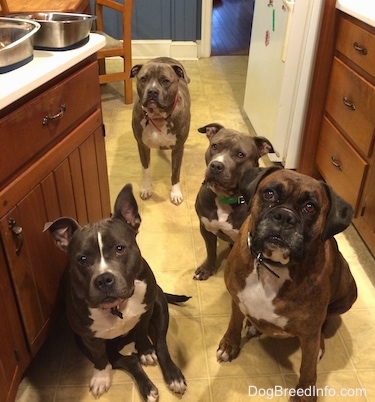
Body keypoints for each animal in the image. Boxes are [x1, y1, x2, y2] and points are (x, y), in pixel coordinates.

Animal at [44, 184, 189, 400]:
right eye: (82, 259)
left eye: (120, 248)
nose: (104, 279)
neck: (117, 307)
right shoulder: (88, 338)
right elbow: (100, 357)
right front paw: (101, 377)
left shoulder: (146, 311)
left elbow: (142, 332)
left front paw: (145, 350)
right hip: (84, 342)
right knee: (127, 361)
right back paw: (148, 388)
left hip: (160, 306)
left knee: (161, 344)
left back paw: (172, 376)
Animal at [131, 57, 191, 204]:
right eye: (143, 78)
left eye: (165, 81)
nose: (152, 91)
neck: (158, 117)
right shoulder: (142, 146)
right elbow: (146, 169)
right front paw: (146, 188)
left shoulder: (178, 147)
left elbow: (175, 173)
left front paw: (175, 193)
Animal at [217, 166, 358, 402]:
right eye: (269, 193)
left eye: (310, 207)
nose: (284, 216)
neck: (271, 265)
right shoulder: (236, 298)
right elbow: (234, 323)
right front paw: (230, 345)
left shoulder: (309, 334)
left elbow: (308, 368)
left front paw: (305, 394)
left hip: (349, 292)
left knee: (325, 322)